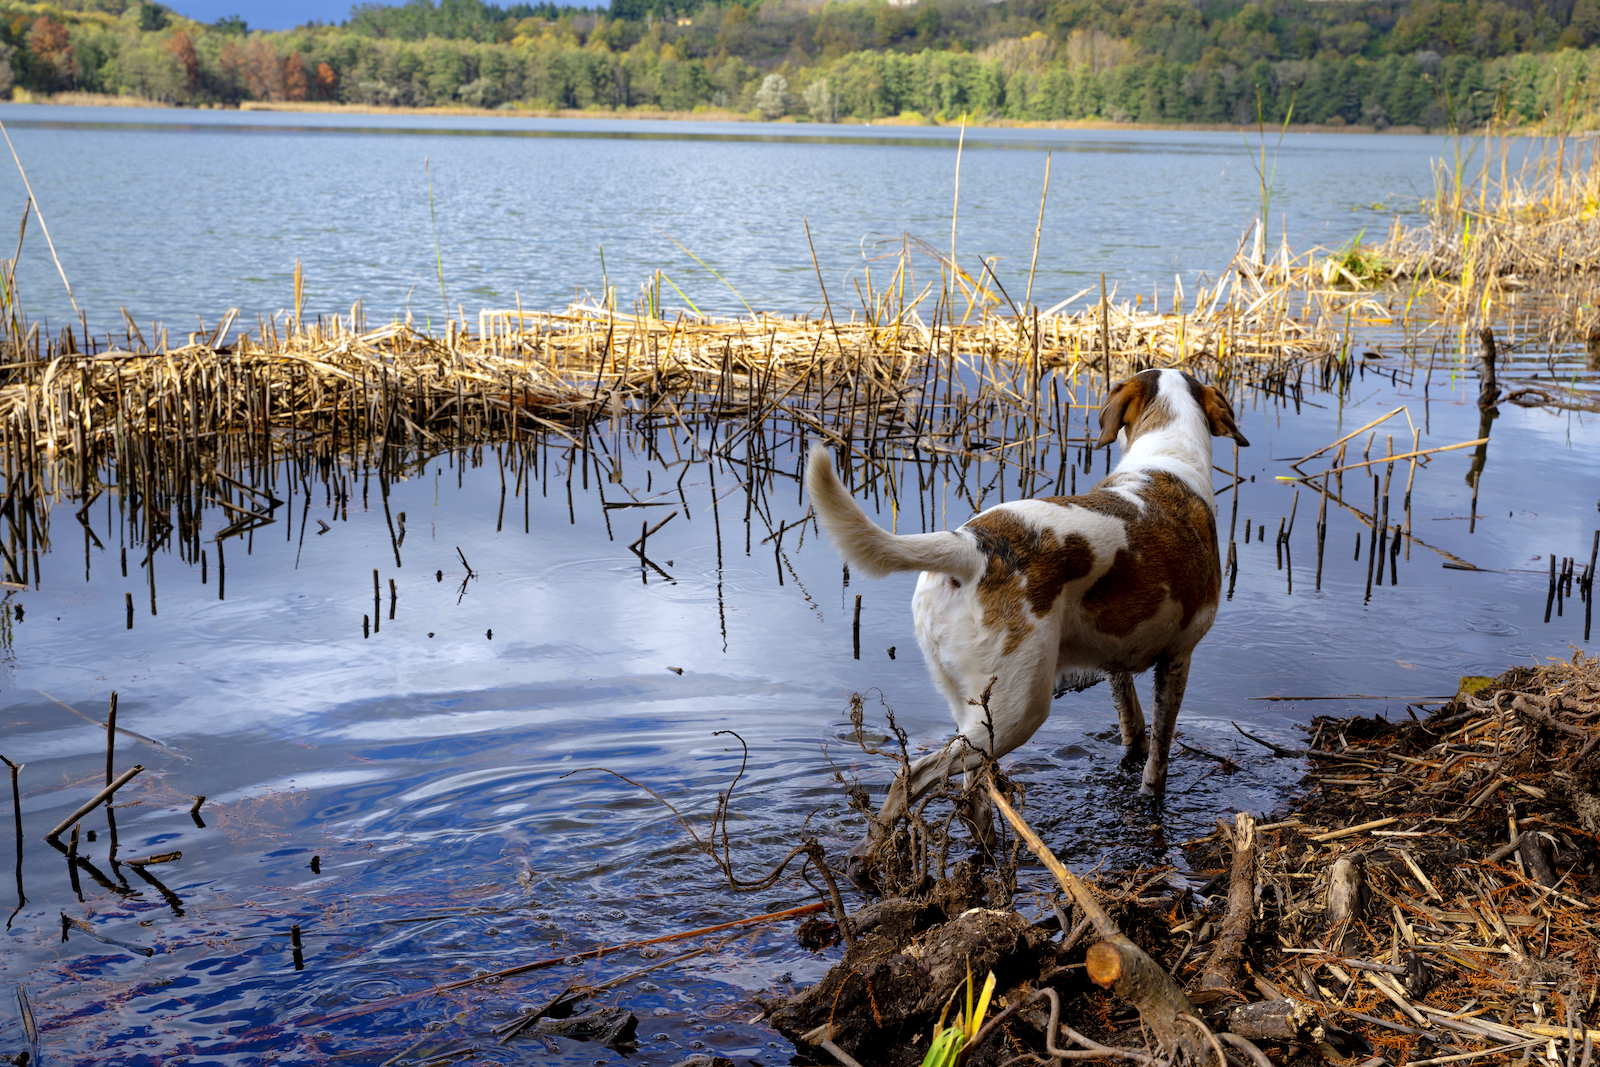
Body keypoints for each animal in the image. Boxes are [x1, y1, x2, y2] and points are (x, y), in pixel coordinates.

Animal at [806, 371, 1241, 857]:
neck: (1168, 453)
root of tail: (969, 546)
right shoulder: (1178, 658)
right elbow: (1159, 757)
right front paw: (1151, 802)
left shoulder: (1115, 665)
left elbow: (1133, 728)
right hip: (1021, 708)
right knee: (910, 776)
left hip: (977, 711)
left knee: (971, 795)